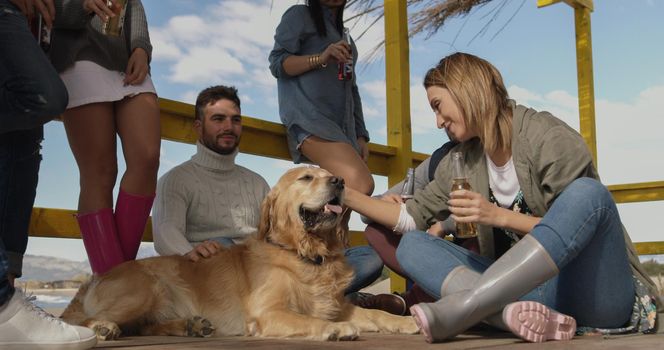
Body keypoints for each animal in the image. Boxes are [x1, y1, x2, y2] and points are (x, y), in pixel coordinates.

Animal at [59, 168, 418, 340]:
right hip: (145, 289)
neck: (304, 254)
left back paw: (190, 326)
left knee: (142, 327)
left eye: (329, 173)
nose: (340, 181)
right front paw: (336, 330)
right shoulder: (268, 312)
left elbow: (376, 314)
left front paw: (403, 321)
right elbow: (307, 319)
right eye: (306, 177)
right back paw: (103, 328)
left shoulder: (338, 305)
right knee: (82, 321)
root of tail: (94, 278)